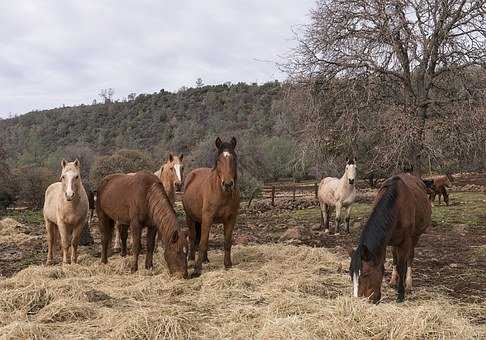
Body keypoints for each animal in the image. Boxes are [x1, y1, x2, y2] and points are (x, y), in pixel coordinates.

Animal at [183, 137, 240, 278]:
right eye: (218, 160)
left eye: (234, 159)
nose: (228, 184)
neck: (222, 194)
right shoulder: (207, 218)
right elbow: (202, 243)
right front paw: (197, 270)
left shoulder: (231, 219)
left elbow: (227, 242)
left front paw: (228, 265)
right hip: (190, 218)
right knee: (193, 237)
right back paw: (191, 260)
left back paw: (205, 259)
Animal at [348, 173, 430, 302]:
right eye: (351, 274)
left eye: (366, 274)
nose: (359, 300)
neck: (396, 205)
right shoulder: (384, 242)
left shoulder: (405, 242)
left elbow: (402, 266)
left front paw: (400, 295)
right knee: (395, 257)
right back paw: (393, 281)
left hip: (415, 237)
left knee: (410, 258)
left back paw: (408, 284)